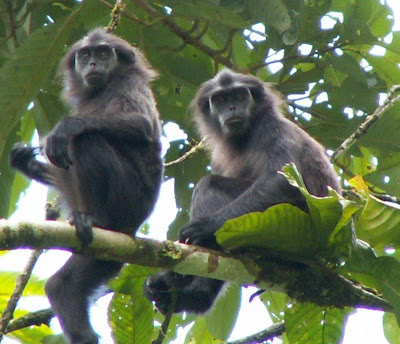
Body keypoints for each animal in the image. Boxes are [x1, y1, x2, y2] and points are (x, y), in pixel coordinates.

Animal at [9, 28, 162, 342]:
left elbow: (141, 123)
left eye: (104, 54)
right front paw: (25, 161)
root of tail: (131, 229)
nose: (93, 64)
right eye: (85, 56)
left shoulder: (130, 83)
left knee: (86, 140)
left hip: (129, 200)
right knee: (61, 285)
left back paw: (96, 218)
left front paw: (67, 127)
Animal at [144, 70, 340, 318]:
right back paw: (194, 295)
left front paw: (204, 227)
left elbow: (282, 183)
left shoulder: (272, 128)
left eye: (238, 95)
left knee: (208, 184)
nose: (232, 108)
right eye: (220, 100)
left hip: (291, 229)